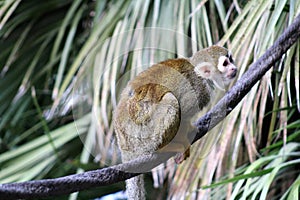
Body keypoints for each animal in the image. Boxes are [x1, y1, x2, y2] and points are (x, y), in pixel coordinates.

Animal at [112, 45, 237, 200]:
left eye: (231, 60)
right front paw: (184, 143)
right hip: (141, 137)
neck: (200, 76)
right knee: (171, 100)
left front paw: (190, 128)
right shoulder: (197, 90)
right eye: (225, 64)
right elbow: (183, 111)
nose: (234, 68)